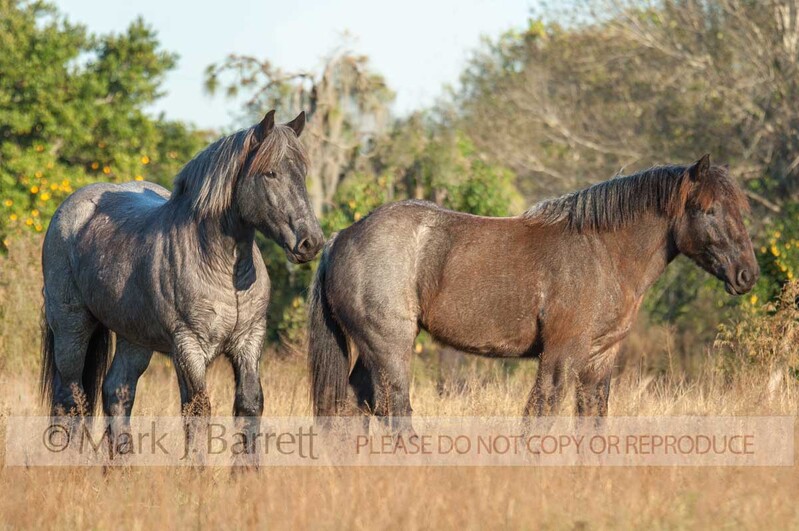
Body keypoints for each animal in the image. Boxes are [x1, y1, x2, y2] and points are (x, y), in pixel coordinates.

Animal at [40, 111, 323, 435]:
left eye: (301, 173)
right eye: (270, 173)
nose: (311, 242)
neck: (224, 271)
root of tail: (68, 210)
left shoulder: (249, 342)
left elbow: (249, 406)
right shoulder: (189, 347)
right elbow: (197, 411)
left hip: (134, 339)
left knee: (117, 394)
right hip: (71, 329)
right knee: (71, 399)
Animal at [308, 155, 758, 432]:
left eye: (740, 209)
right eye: (709, 210)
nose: (747, 274)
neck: (602, 251)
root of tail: (339, 238)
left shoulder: (600, 358)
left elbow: (592, 421)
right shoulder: (561, 355)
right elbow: (540, 416)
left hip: (372, 351)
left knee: (351, 408)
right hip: (390, 346)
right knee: (393, 410)